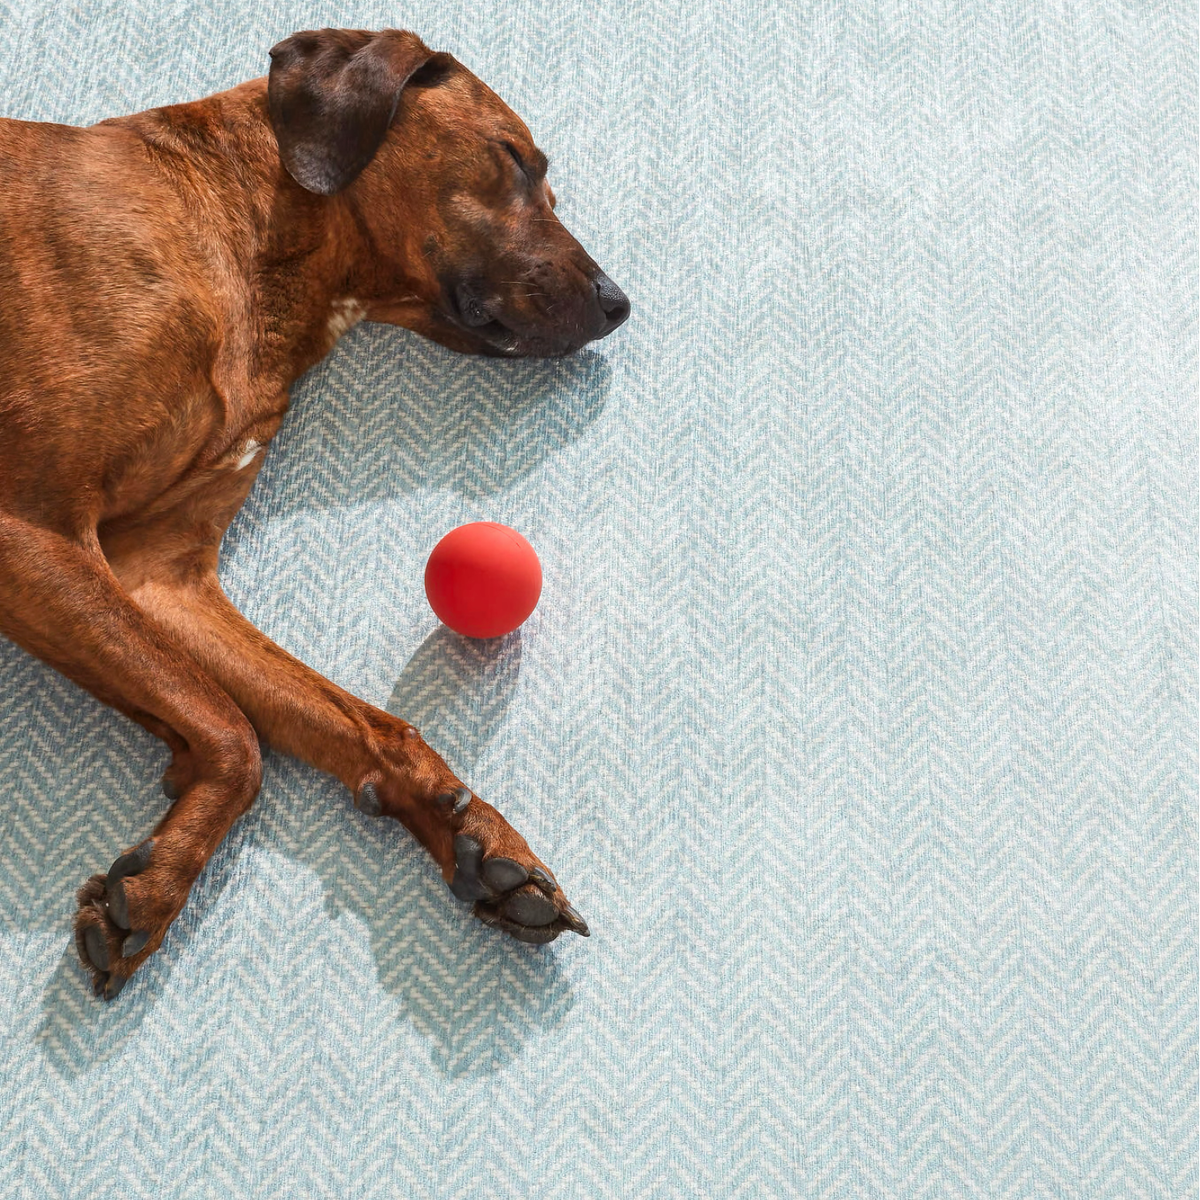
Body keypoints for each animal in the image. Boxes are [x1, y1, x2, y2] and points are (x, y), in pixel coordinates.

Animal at [0, 30, 624, 1003]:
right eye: (516, 161)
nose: (617, 303)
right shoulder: (34, 528)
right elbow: (232, 728)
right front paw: (162, 876)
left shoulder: (159, 578)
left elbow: (349, 721)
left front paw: (477, 836)